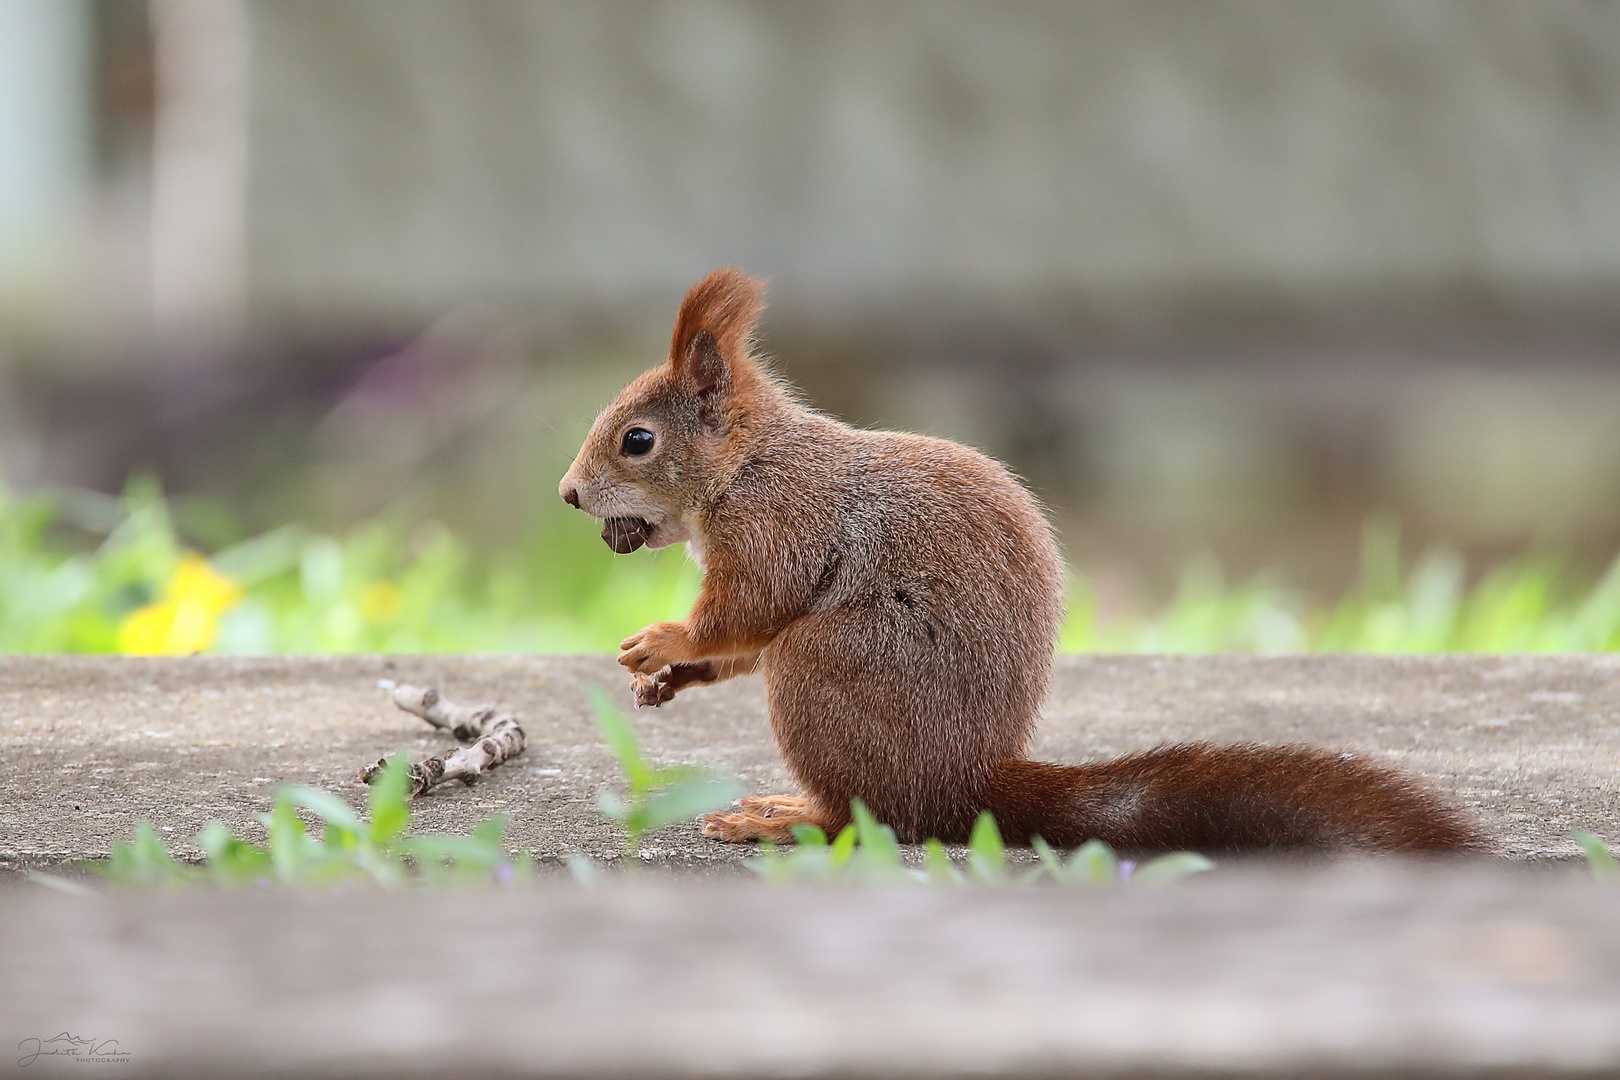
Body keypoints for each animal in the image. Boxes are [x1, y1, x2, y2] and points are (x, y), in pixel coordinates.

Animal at [557, 268, 1483, 854]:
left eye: (637, 441)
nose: (567, 495)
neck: (749, 464)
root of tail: (967, 782)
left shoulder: (780, 525)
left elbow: (749, 608)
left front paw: (669, 642)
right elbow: (741, 640)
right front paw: (671, 677)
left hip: (829, 670)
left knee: (882, 817)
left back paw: (789, 820)